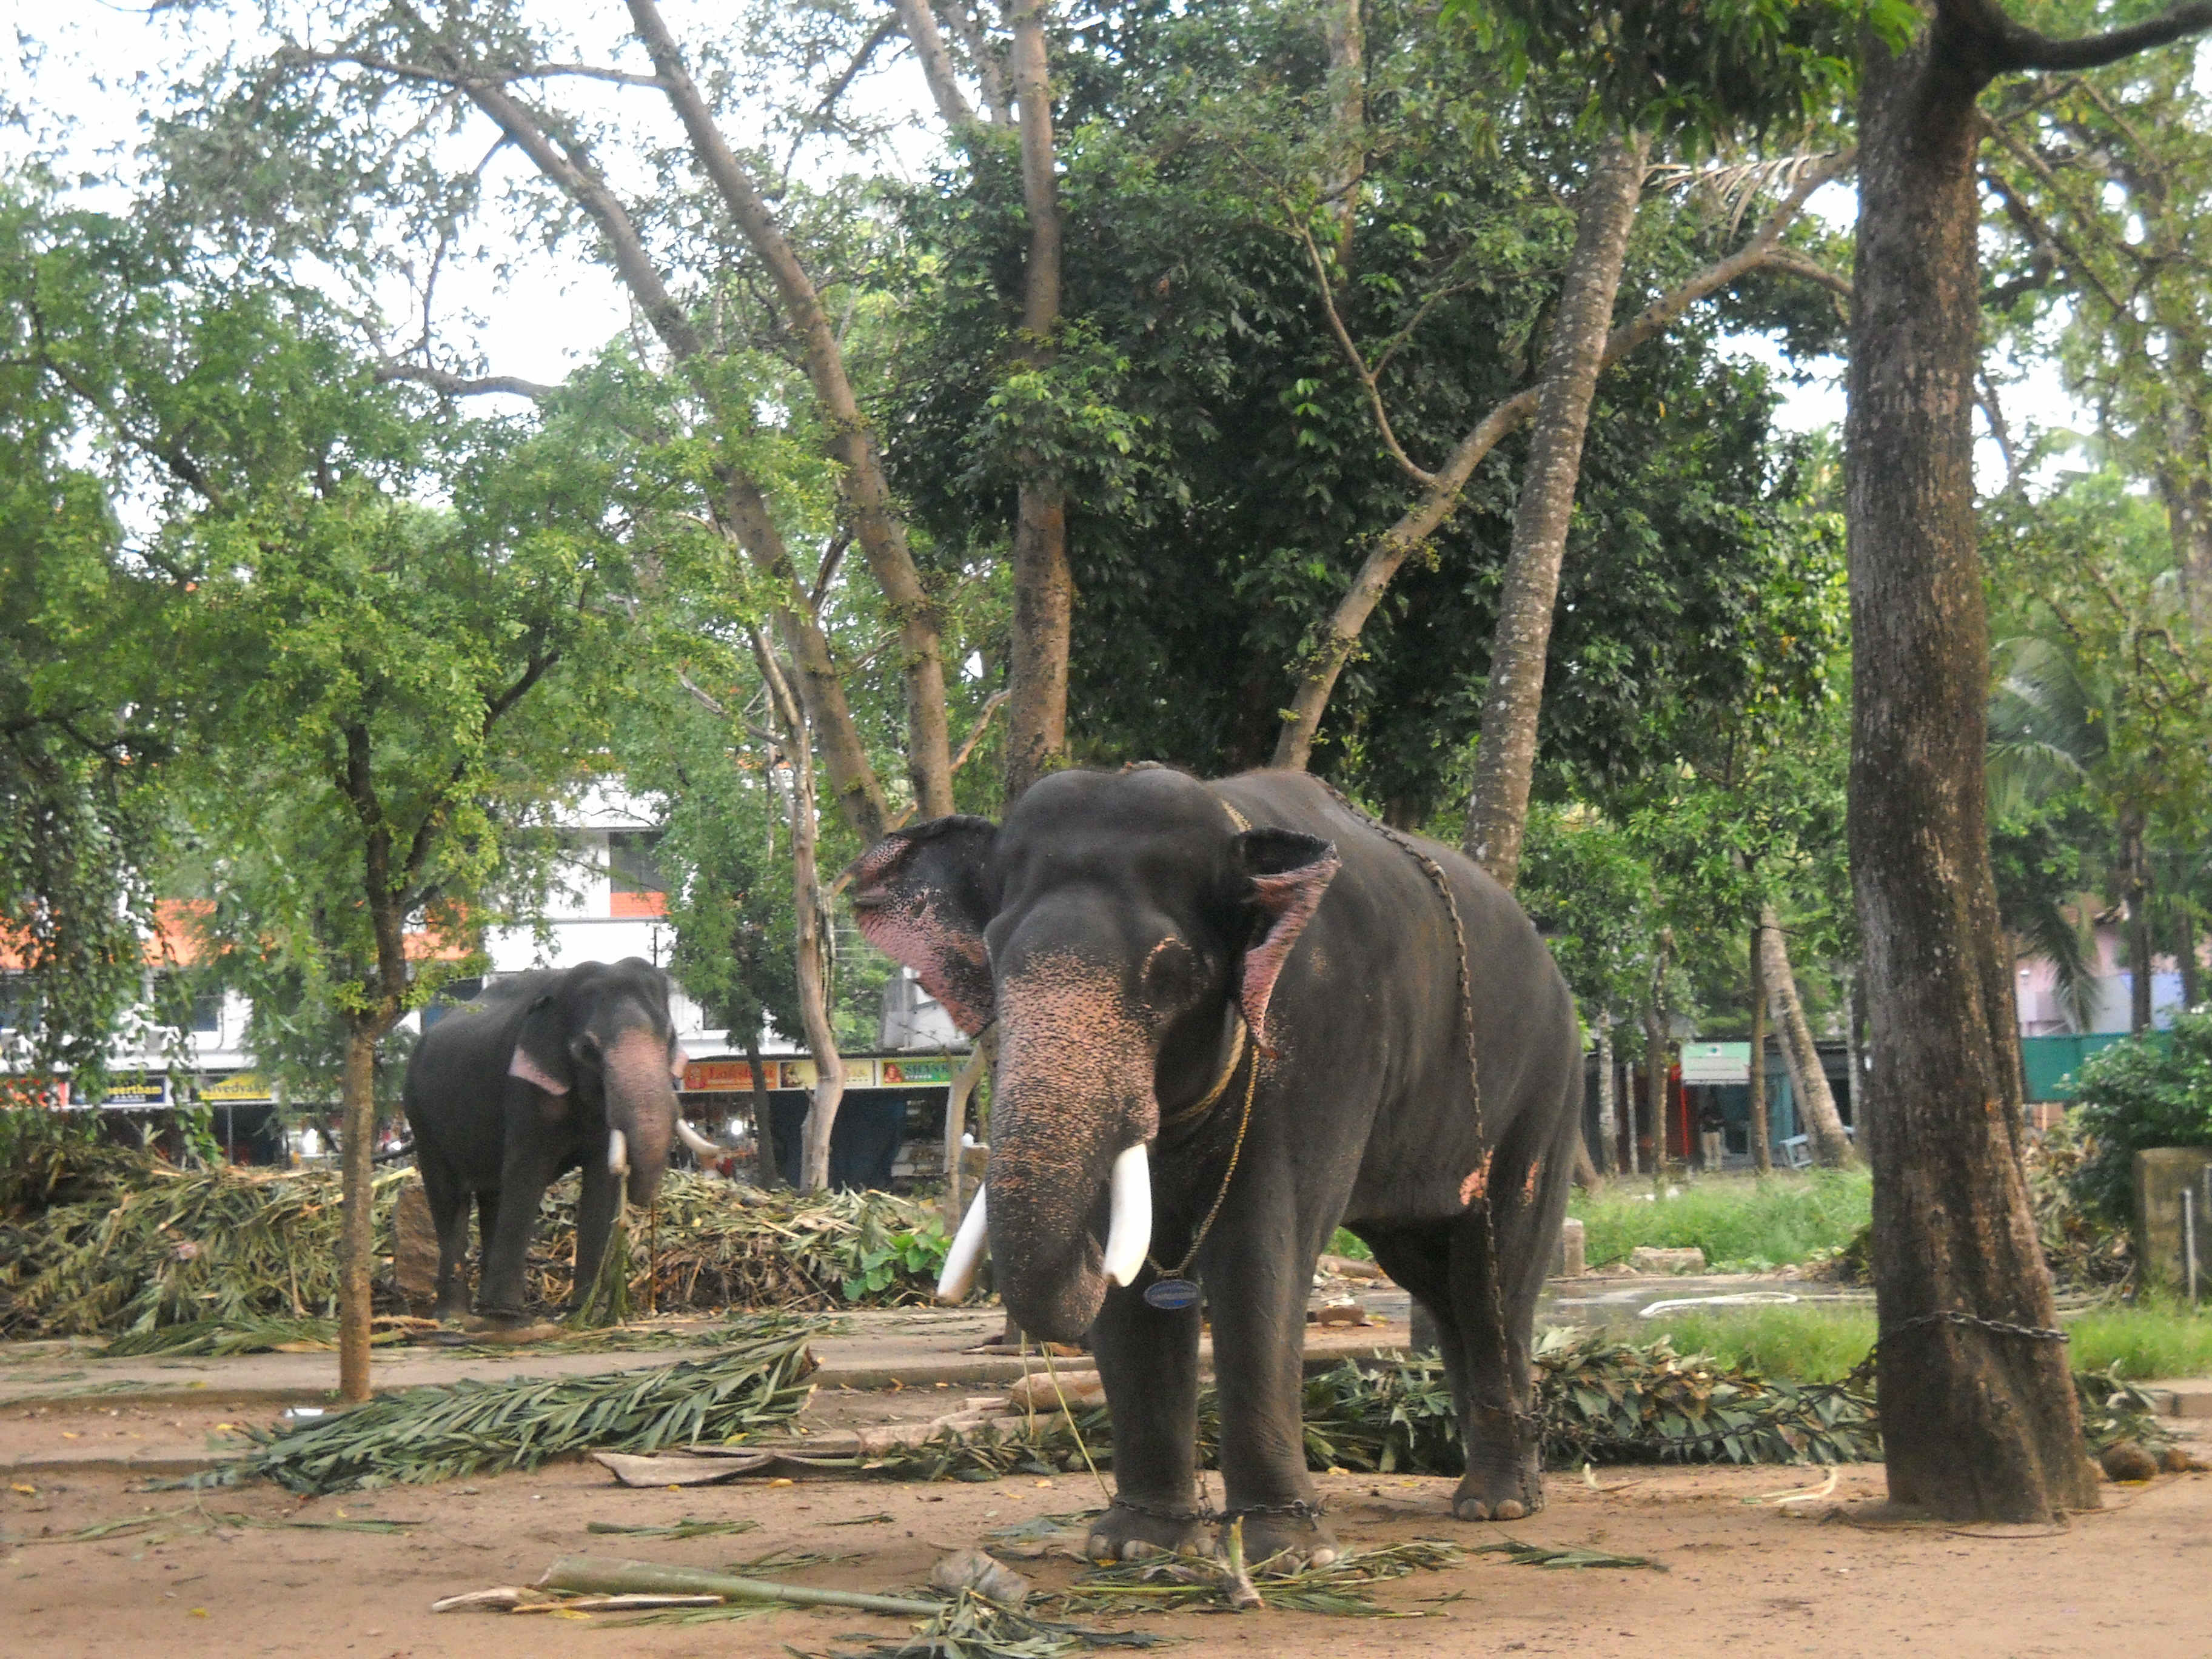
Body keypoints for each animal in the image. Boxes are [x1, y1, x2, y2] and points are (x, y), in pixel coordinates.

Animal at [394, 960, 712, 1327]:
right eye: (587, 1050)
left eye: (671, 1039)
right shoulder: (524, 1089)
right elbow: (527, 1173)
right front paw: (509, 1315)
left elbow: (600, 1185)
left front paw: (587, 1313)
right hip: (420, 1114)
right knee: (449, 1196)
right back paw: (458, 1317)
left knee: (493, 1195)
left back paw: (483, 1310)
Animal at [849, 765, 1592, 1575]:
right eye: (994, 963)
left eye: (1171, 972)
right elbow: (1131, 1272)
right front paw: (1135, 1546)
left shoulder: (1325, 1035)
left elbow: (1260, 1251)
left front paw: (1286, 1555)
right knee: (1438, 1275)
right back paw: (1482, 1486)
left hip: (1546, 1087)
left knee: (1493, 1275)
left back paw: (1499, 1504)